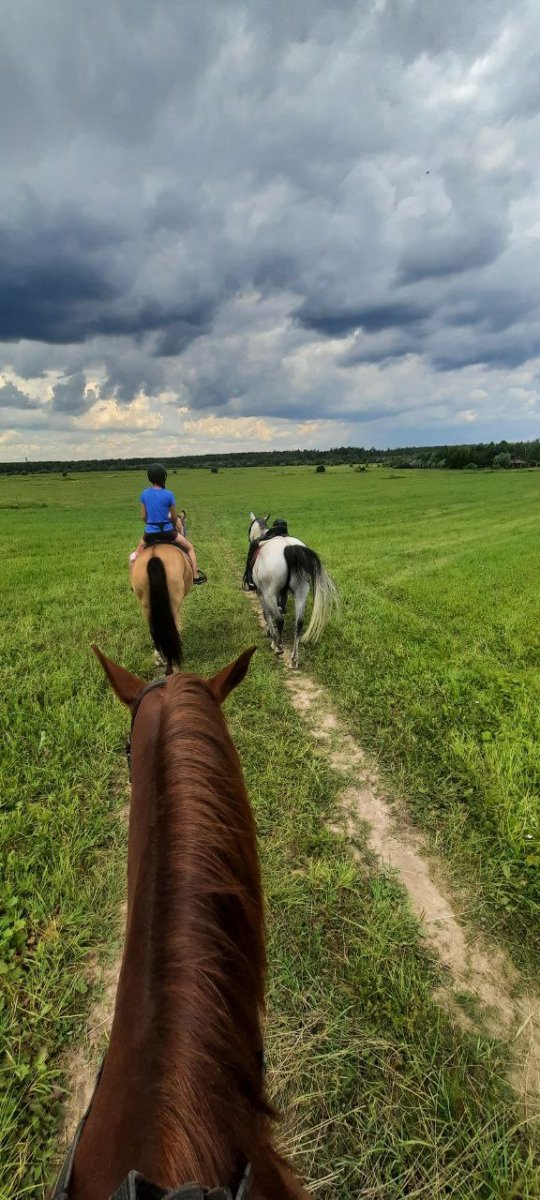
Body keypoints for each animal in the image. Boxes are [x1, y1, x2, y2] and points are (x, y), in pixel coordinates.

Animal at [130, 544, 192, 676]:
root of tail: (154, 555)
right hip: (173, 601)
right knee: (170, 630)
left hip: (146, 604)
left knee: (154, 629)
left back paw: (159, 659)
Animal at [246, 513, 338, 672]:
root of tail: (290, 549)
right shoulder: (281, 595)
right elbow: (281, 610)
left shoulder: (261, 593)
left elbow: (267, 614)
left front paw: (271, 635)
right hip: (301, 591)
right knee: (299, 623)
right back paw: (294, 658)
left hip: (270, 593)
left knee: (279, 619)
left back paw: (278, 647)